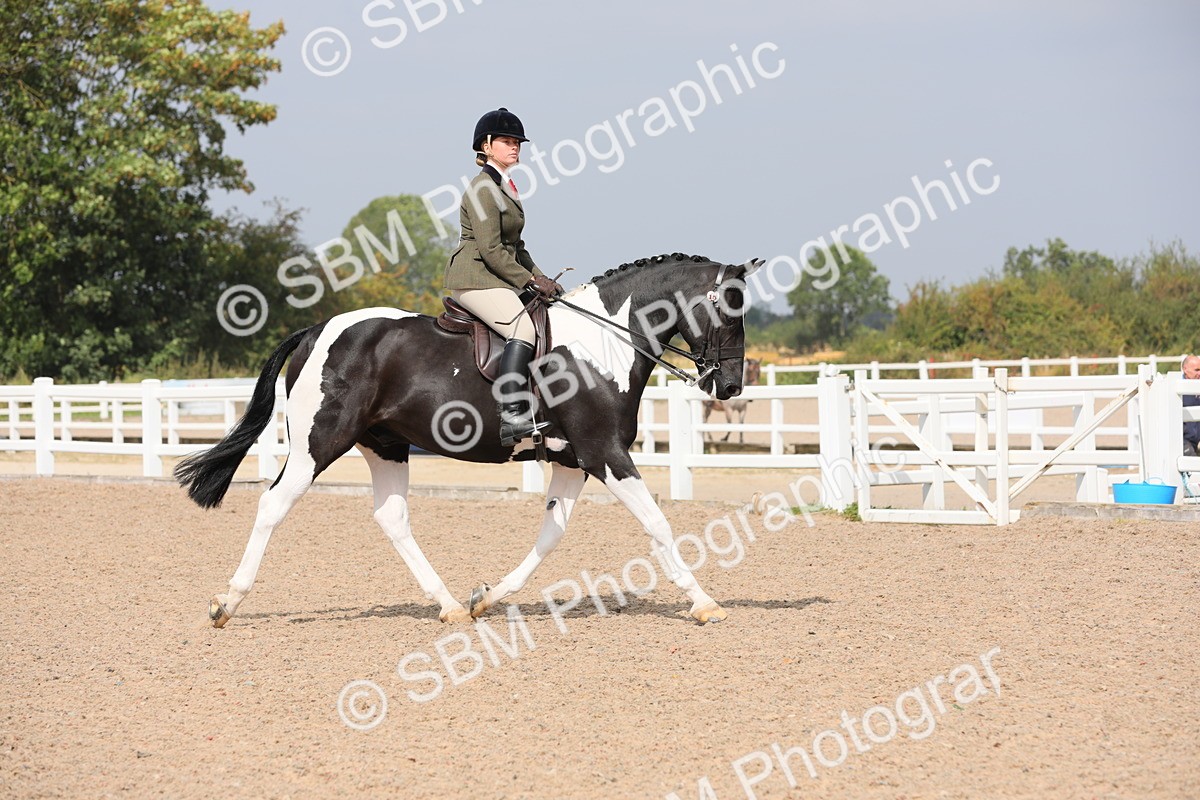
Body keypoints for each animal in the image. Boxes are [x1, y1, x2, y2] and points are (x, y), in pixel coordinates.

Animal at [175, 253, 762, 628]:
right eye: (730, 310)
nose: (731, 386)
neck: (603, 344)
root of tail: (316, 330)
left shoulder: (574, 459)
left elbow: (551, 534)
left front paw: (486, 597)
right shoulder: (605, 453)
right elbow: (658, 524)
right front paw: (704, 602)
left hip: (385, 445)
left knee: (392, 517)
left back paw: (451, 606)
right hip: (318, 444)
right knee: (274, 504)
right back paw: (227, 604)